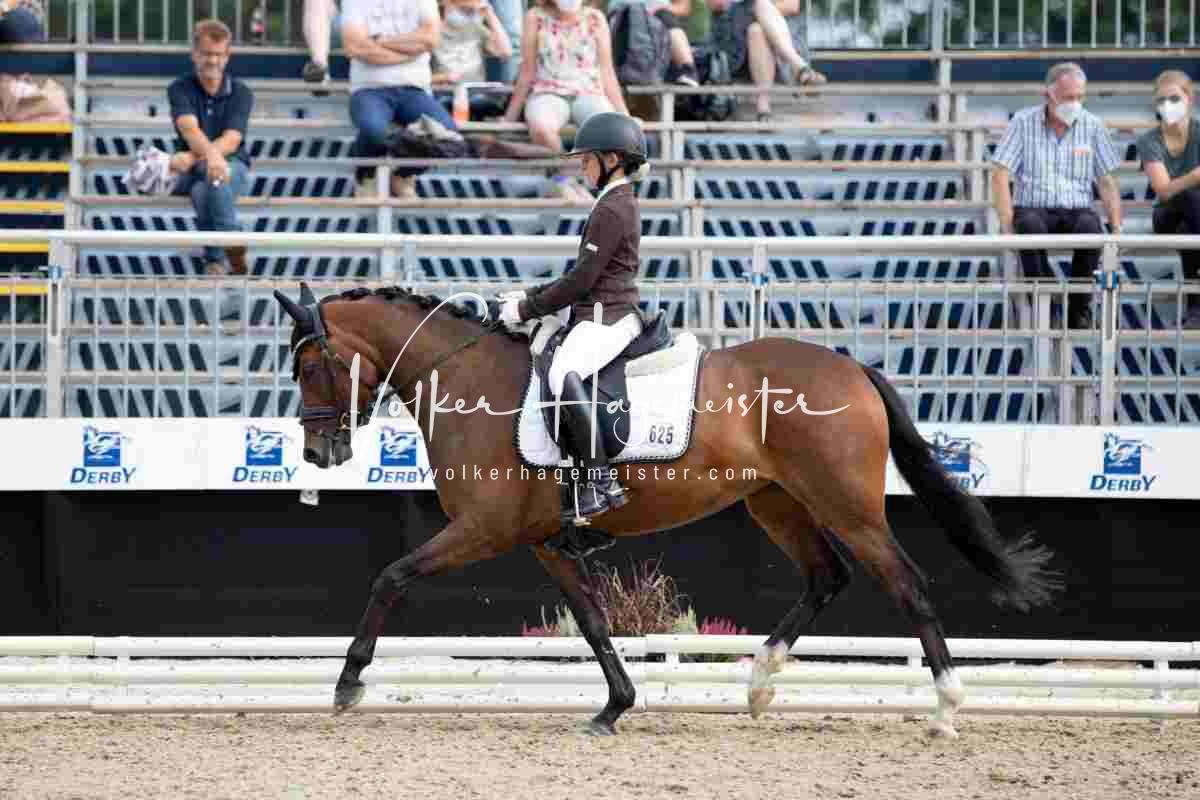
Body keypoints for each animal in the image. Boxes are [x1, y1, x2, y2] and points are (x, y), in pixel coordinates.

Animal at [274, 281, 1061, 738]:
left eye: (311, 366)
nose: (317, 452)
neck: (465, 375)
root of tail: (853, 368)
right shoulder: (546, 540)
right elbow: (593, 621)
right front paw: (615, 706)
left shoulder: (482, 530)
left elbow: (391, 577)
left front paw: (347, 686)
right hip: (776, 502)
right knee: (825, 577)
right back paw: (759, 686)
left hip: (846, 504)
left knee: (907, 584)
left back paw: (947, 707)